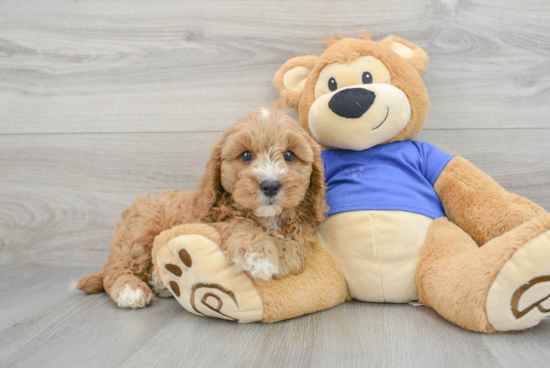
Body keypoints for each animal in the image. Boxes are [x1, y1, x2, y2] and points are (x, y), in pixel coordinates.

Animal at [75, 108, 330, 308]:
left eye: (289, 155)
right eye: (246, 155)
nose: (270, 185)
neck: (267, 218)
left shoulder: (303, 225)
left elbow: (294, 245)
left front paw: (280, 257)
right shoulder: (210, 220)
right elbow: (239, 224)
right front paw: (258, 255)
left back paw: (160, 282)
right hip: (138, 235)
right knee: (116, 271)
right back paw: (132, 289)